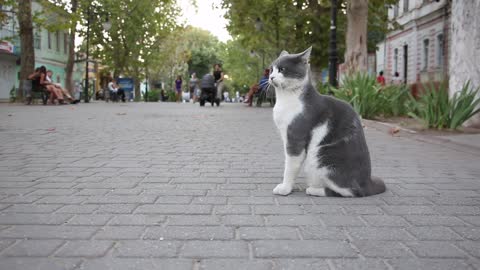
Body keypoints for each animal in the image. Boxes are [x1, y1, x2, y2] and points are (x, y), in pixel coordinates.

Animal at [270, 47, 386, 197]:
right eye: (271, 69)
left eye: (282, 69)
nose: (271, 77)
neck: (285, 98)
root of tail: (367, 183)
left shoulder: (295, 138)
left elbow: (290, 165)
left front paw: (285, 188)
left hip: (321, 157)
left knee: (350, 191)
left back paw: (313, 189)